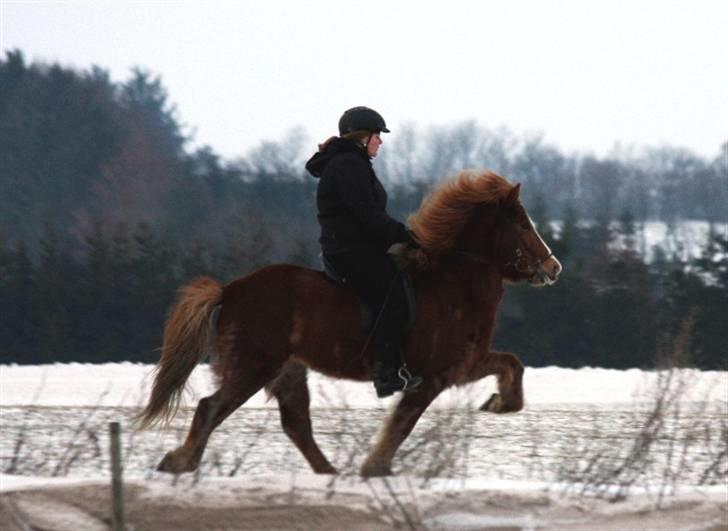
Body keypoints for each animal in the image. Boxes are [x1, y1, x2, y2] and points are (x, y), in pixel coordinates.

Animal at [139, 169, 564, 478]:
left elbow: (512, 363)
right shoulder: (436, 375)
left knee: (296, 424)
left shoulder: (465, 364)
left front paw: (499, 403)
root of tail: (229, 290)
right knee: (211, 408)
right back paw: (180, 463)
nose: (553, 267)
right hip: (252, 367)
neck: (453, 283)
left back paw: (329, 473)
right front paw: (376, 467)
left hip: (288, 370)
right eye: (522, 224)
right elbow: (403, 423)